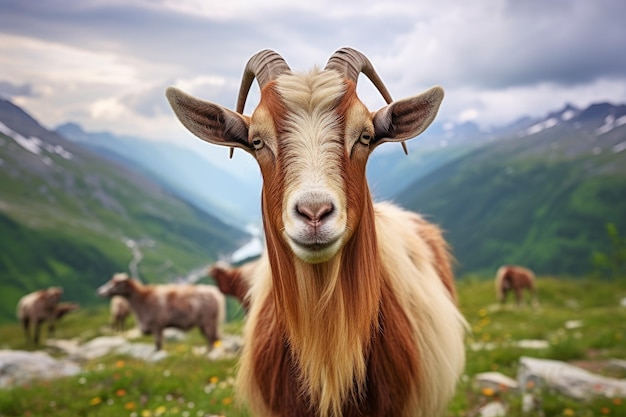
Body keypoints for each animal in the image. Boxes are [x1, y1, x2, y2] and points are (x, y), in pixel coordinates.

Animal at [96, 272, 225, 350]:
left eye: (115, 283)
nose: (100, 291)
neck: (142, 300)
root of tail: (216, 293)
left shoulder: (156, 326)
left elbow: (158, 345)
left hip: (208, 321)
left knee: (212, 338)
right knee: (214, 338)